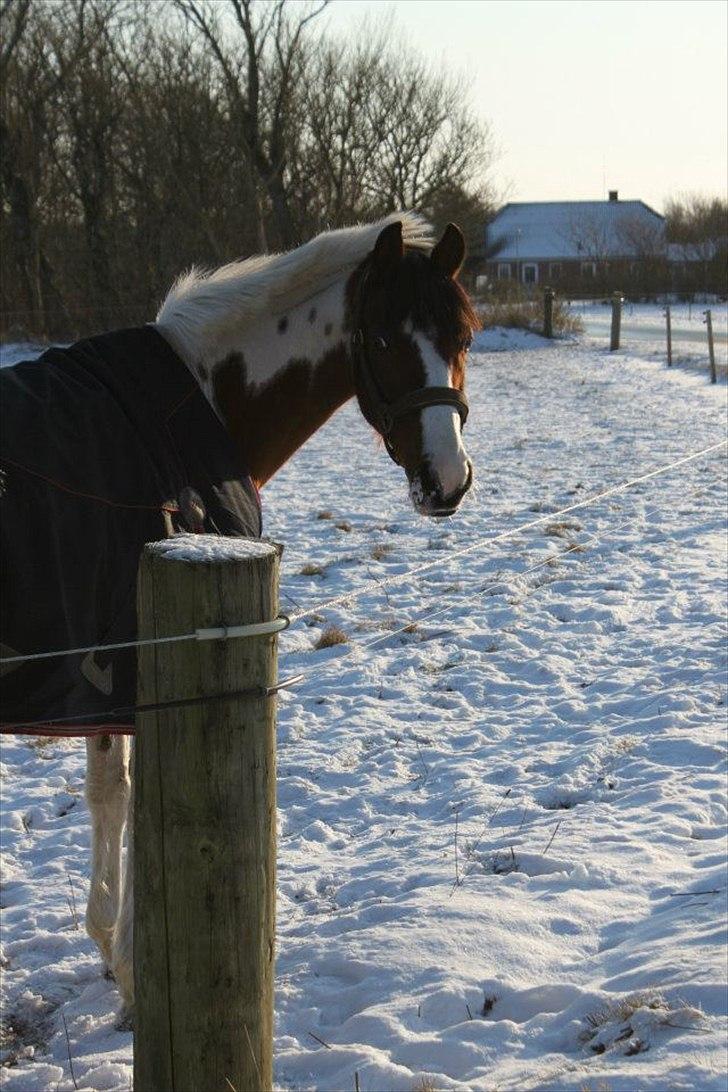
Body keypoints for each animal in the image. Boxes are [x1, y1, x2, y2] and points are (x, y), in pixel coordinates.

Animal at [0, 212, 479, 1015]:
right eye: (384, 340)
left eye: (464, 337)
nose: (446, 482)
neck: (193, 399)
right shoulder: (137, 663)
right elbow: (140, 802)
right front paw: (136, 971)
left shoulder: (100, 673)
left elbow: (108, 794)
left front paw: (109, 946)